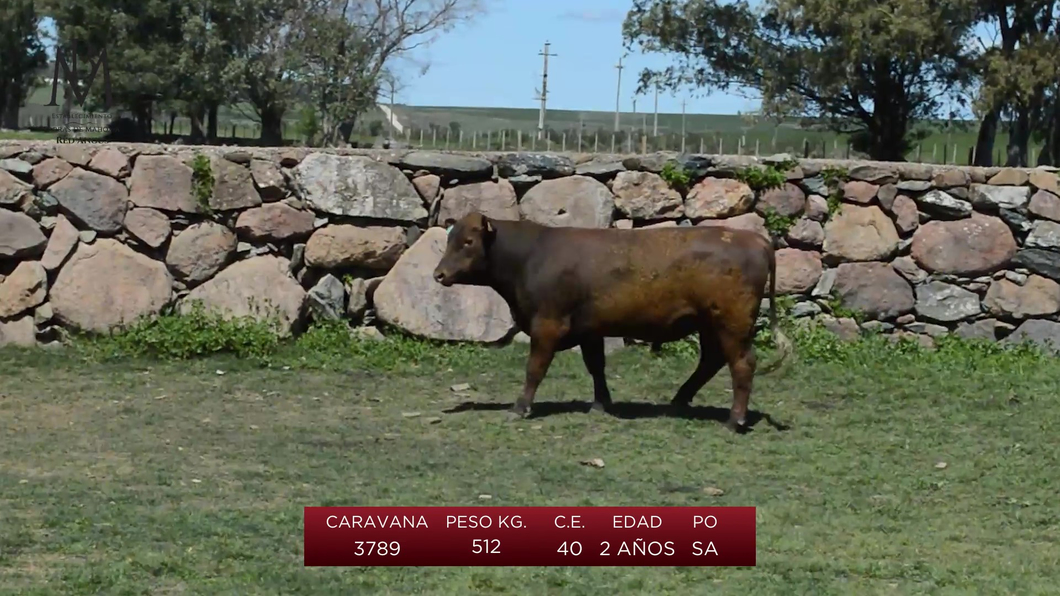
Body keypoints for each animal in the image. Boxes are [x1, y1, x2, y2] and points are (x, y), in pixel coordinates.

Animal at [428, 211, 788, 428]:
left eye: (468, 242)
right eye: (449, 239)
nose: (439, 274)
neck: (531, 255)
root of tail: (754, 238)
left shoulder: (547, 326)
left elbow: (535, 369)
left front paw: (520, 406)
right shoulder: (589, 330)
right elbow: (596, 366)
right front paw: (601, 403)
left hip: (731, 324)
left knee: (742, 364)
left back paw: (734, 420)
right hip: (709, 325)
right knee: (711, 362)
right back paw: (679, 400)